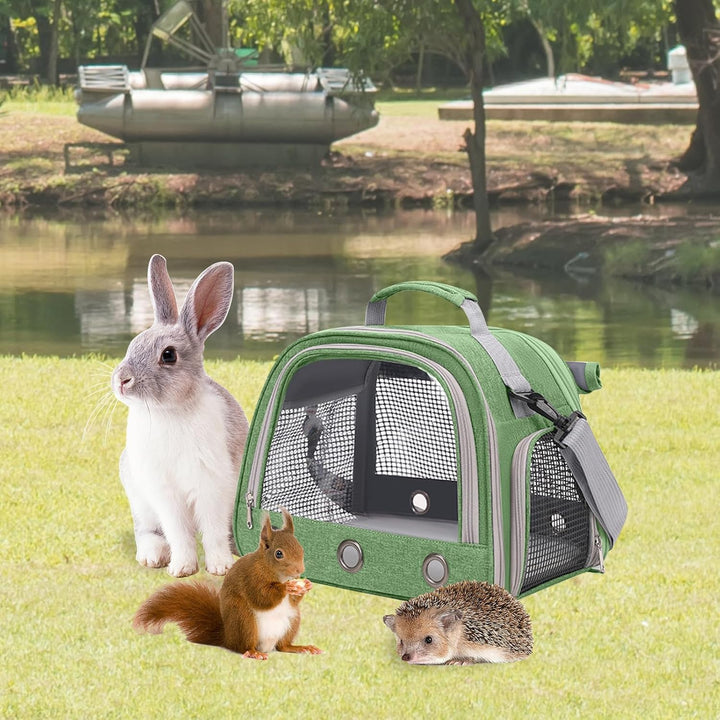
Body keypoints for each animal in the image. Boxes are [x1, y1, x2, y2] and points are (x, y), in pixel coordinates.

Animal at [111, 254, 249, 577]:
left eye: (169, 355)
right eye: (132, 345)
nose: (121, 380)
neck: (170, 411)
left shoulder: (212, 485)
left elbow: (213, 530)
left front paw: (220, 567)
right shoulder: (164, 492)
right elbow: (178, 533)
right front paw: (182, 568)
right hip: (139, 498)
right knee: (147, 531)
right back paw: (152, 557)